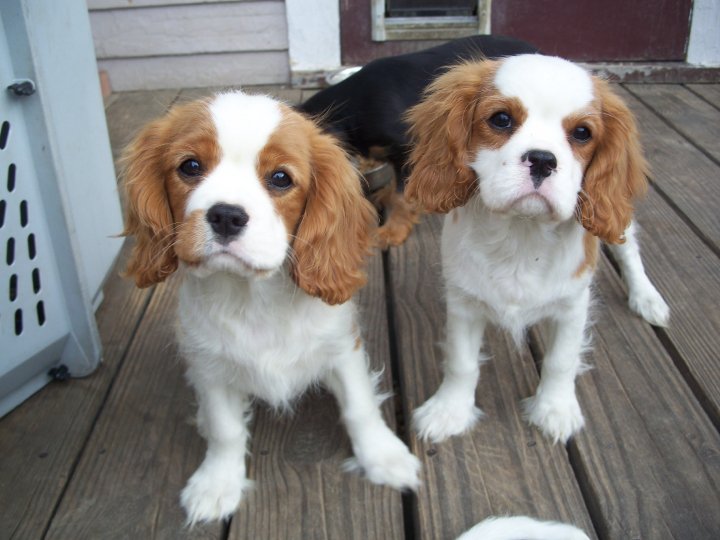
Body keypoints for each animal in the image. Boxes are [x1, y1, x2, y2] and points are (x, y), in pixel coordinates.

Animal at [121, 90, 420, 524]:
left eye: (281, 178)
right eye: (190, 166)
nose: (226, 215)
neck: (253, 297)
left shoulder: (343, 349)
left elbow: (359, 406)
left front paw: (383, 457)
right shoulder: (208, 367)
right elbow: (225, 430)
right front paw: (217, 484)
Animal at [404, 54, 670, 444]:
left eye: (582, 133)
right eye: (501, 119)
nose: (543, 159)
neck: (521, 234)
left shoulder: (574, 304)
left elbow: (562, 360)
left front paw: (554, 410)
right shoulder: (464, 301)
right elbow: (461, 362)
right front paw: (449, 410)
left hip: (618, 227)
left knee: (629, 246)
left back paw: (646, 297)